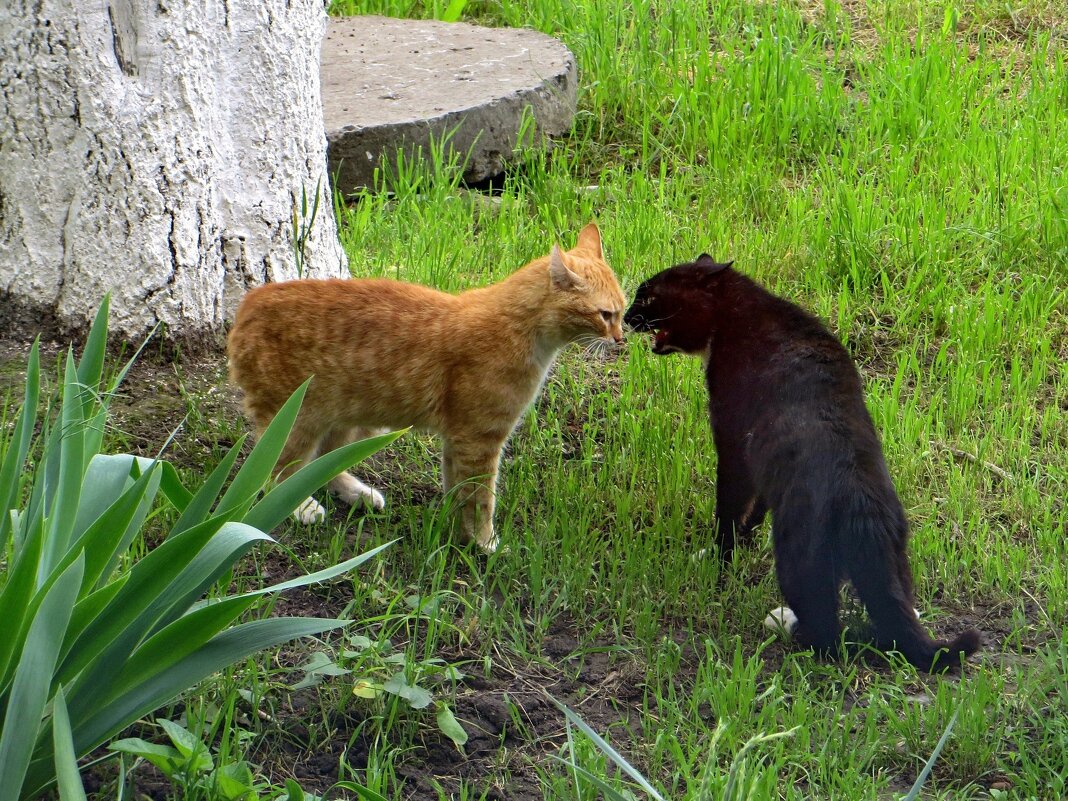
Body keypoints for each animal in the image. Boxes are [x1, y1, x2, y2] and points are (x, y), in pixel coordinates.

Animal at [227, 224, 623, 551]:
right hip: (298, 420)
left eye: (620, 311)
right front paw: (485, 544)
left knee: (321, 464)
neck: (520, 329)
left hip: (359, 420)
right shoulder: (479, 442)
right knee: (276, 473)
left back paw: (357, 493)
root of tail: (248, 303)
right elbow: (481, 500)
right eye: (605, 314)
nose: (621, 338)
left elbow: (458, 492)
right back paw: (302, 508)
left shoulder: (459, 441)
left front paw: (459, 534)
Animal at [623, 257, 982, 670]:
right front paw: (746, 534)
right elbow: (755, 504)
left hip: (798, 559)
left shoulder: (733, 442)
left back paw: (787, 625)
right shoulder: (762, 459)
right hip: (891, 561)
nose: (628, 316)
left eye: (648, 294)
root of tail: (861, 499)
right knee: (893, 621)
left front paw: (720, 556)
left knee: (828, 635)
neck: (737, 312)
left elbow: (729, 508)